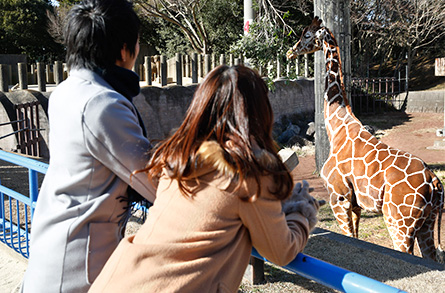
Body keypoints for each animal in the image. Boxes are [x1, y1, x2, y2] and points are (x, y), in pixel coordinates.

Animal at [286, 16, 442, 262]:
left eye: (307, 35)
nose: (290, 52)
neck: (337, 127)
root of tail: (435, 183)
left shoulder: (338, 197)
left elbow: (349, 238)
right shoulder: (356, 204)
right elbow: (356, 239)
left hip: (399, 223)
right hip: (427, 223)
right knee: (432, 257)